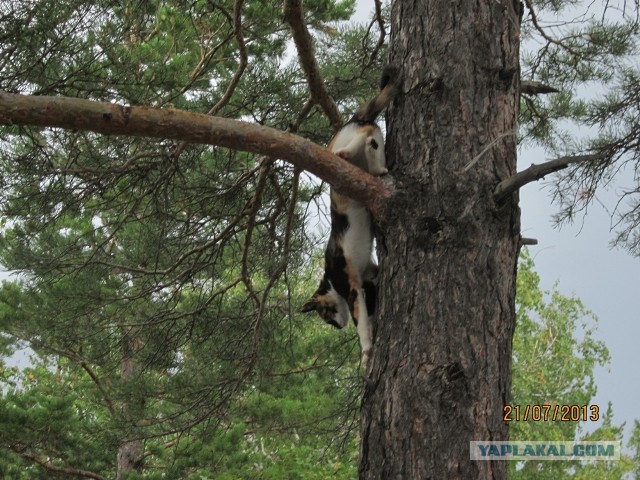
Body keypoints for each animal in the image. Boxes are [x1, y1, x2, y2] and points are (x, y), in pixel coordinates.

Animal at [302, 67, 400, 366]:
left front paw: (367, 351)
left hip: (337, 154)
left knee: (343, 150)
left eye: (325, 315)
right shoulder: (369, 275)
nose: (336, 326)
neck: (331, 279)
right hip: (371, 154)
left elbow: (363, 326)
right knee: (372, 137)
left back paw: (347, 150)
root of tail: (353, 119)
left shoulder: (353, 288)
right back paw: (378, 165)